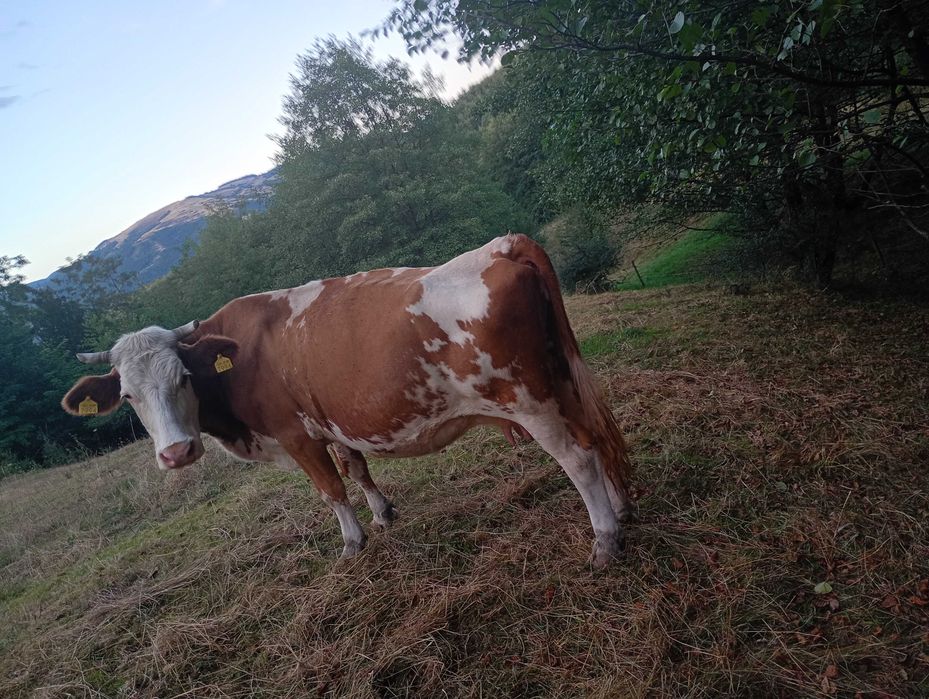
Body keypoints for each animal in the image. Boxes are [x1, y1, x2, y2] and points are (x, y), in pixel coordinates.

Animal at [62, 234, 634, 567]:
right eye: (129, 396)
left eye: (183, 377)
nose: (177, 453)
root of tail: (501, 245)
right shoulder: (332, 421)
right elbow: (356, 468)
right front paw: (382, 514)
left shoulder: (296, 434)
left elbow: (331, 489)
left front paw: (352, 543)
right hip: (561, 380)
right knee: (598, 433)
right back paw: (623, 507)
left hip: (529, 398)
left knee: (578, 456)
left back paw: (604, 538)